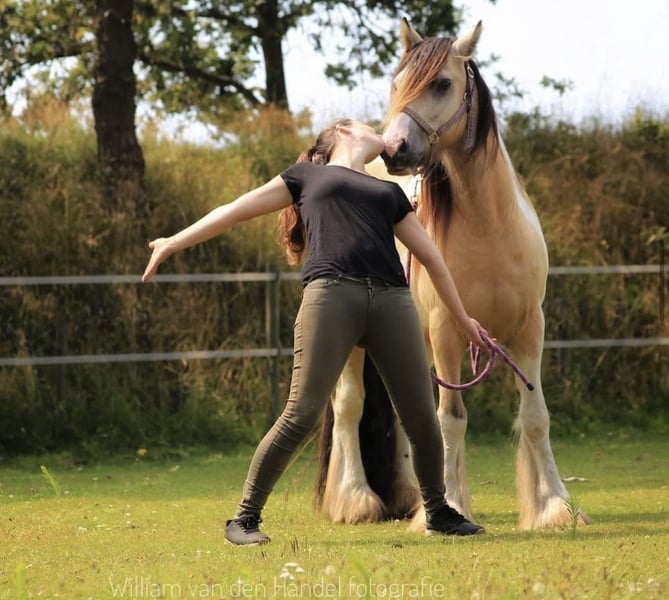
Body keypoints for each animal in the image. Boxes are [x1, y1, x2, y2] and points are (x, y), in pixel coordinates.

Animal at [315, 18, 591, 530]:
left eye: (442, 84)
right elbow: (452, 420)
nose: (395, 149)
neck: (490, 229)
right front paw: (450, 508)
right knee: (349, 405)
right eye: (397, 83)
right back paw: (356, 500)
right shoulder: (446, 332)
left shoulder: (530, 329)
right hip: (354, 340)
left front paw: (553, 507)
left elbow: (535, 415)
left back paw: (406, 496)